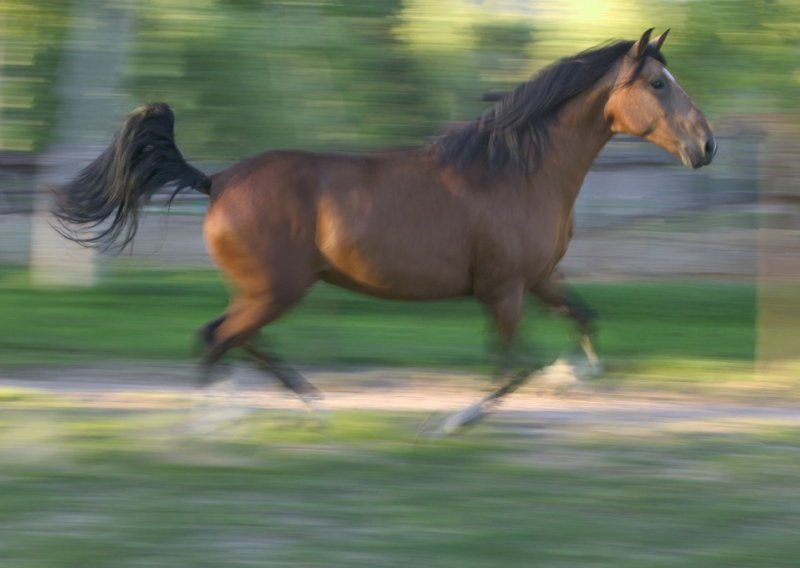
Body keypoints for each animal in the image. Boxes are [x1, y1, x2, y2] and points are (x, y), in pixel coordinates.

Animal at [56, 30, 720, 430]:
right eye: (658, 84)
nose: (707, 146)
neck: (516, 170)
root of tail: (217, 181)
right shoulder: (503, 289)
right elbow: (511, 367)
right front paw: (456, 421)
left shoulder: (537, 278)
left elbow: (582, 320)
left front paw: (578, 375)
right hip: (274, 290)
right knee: (216, 338)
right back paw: (219, 418)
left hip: (267, 291)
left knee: (233, 338)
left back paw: (308, 402)